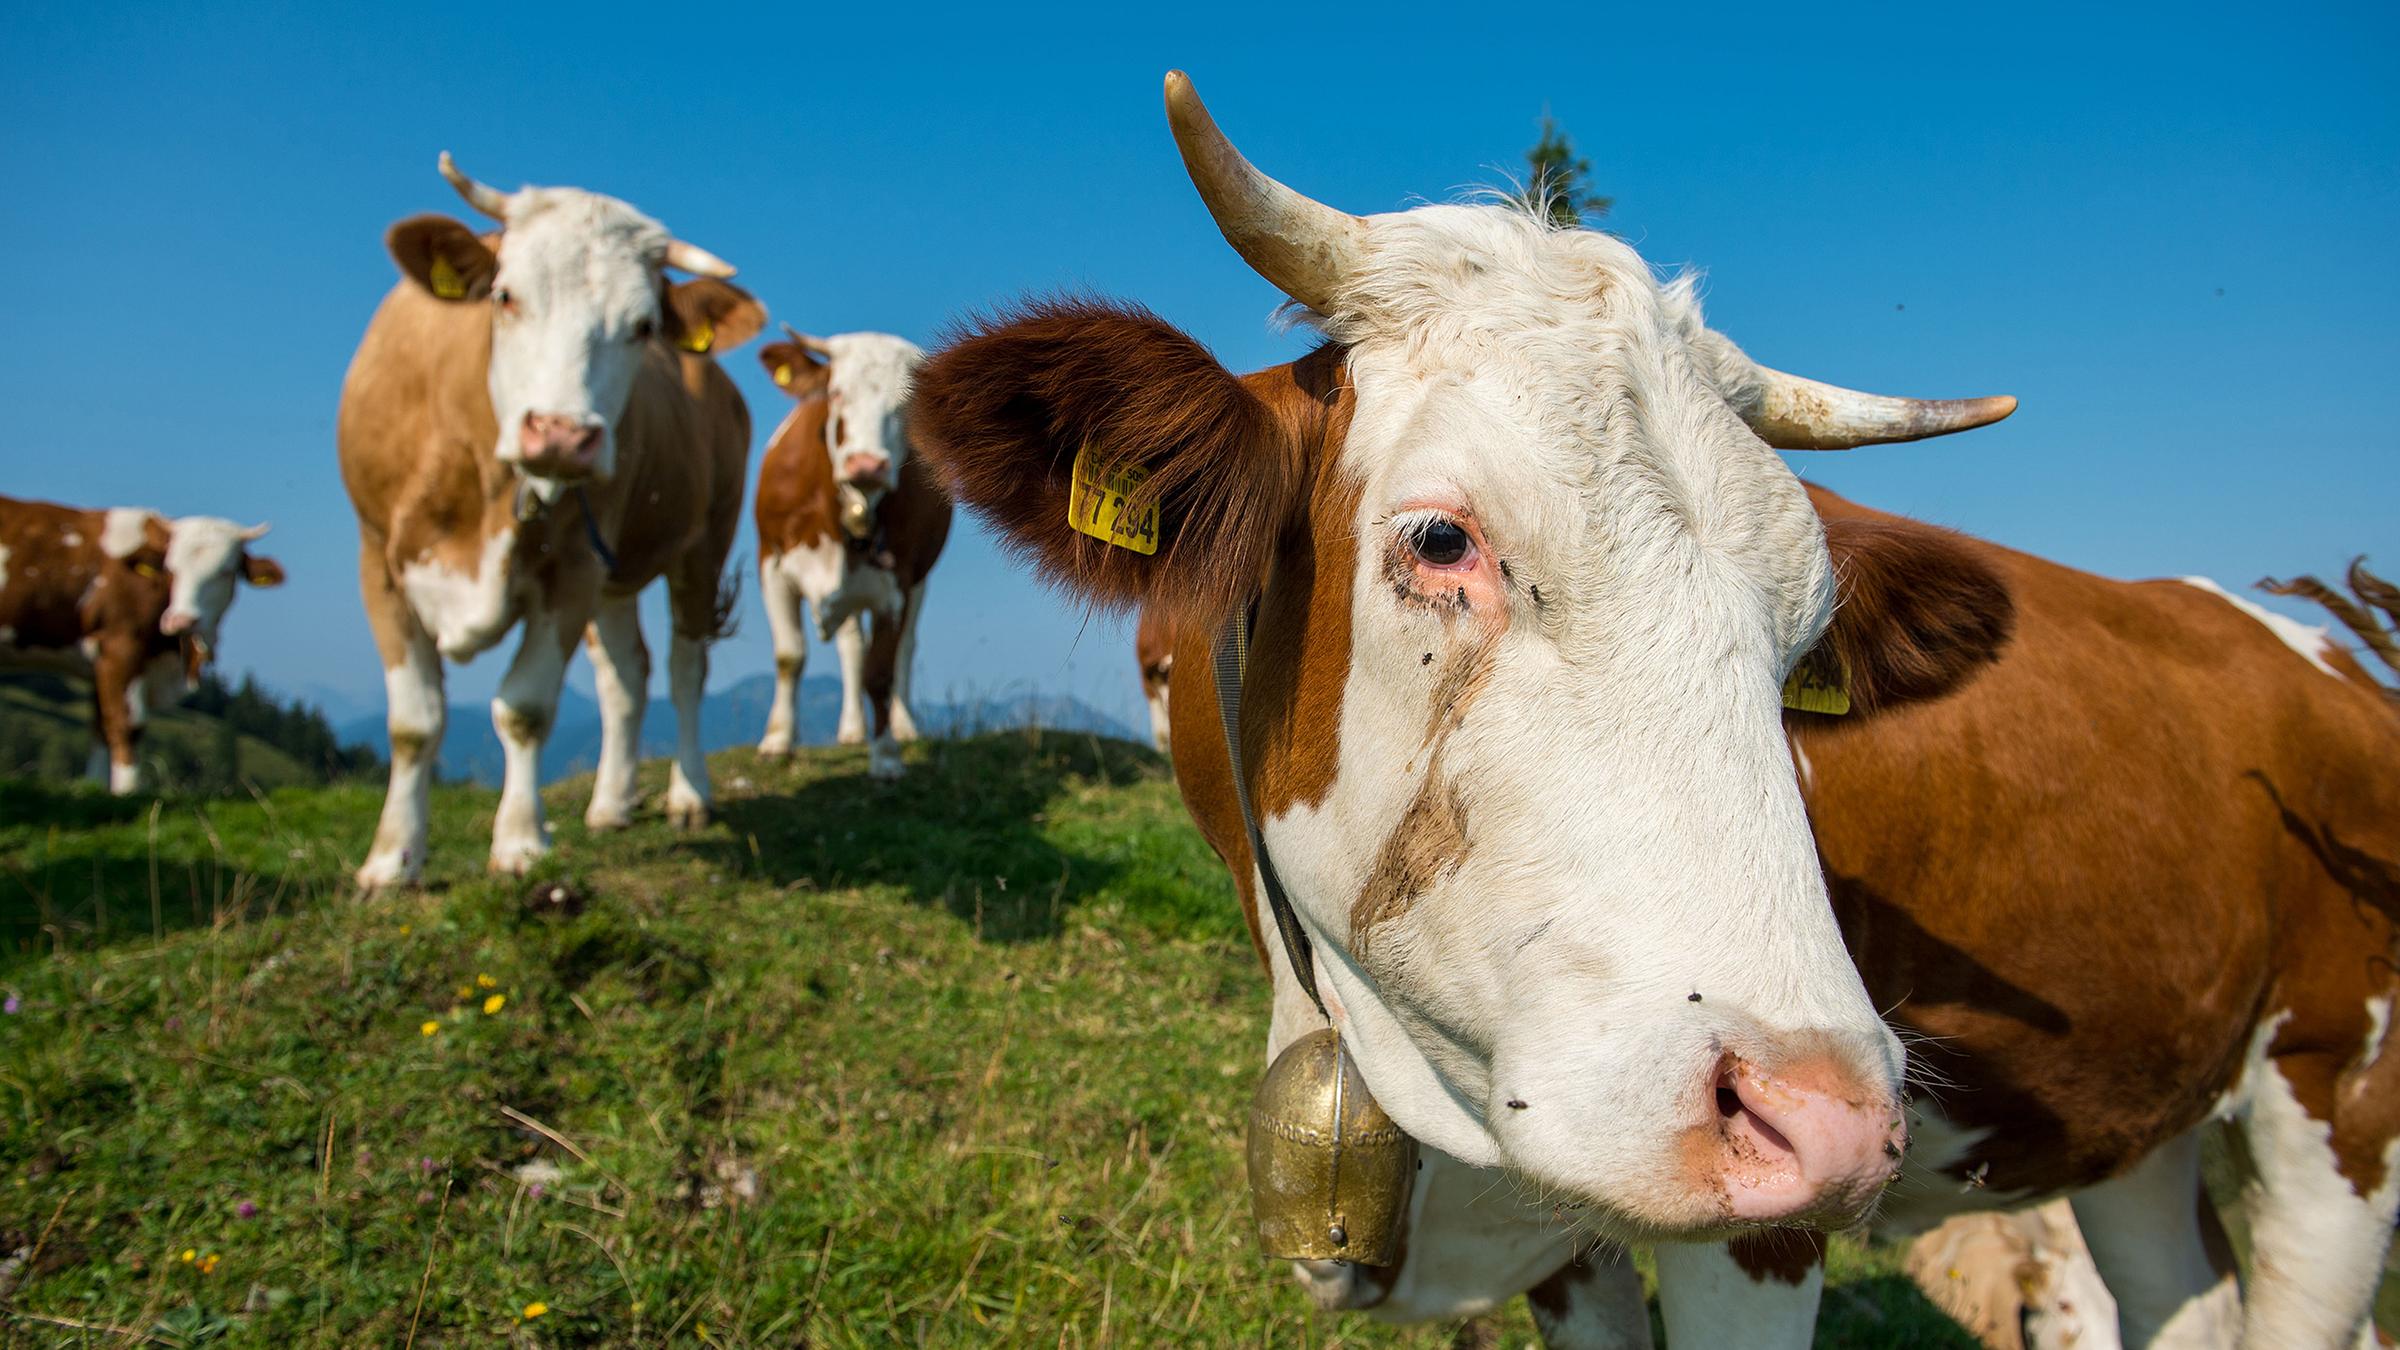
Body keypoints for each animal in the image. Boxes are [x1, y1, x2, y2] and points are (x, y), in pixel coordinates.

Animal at [0, 494, 285, 787]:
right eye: (170, 569)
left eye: (227, 572)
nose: (182, 620)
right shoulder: (121, 647)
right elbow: (127, 726)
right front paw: (127, 791)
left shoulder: (100, 665)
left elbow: (100, 730)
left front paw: (95, 789)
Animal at [340, 154, 758, 883]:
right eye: (505, 296)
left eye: (643, 326)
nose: (564, 435)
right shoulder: (378, 559)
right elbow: (414, 722)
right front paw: (392, 861)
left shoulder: (573, 570)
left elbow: (526, 708)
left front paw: (518, 843)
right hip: (616, 572)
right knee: (627, 676)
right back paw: (611, 802)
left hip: (700, 544)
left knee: (684, 668)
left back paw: (688, 795)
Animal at [748, 321, 945, 778]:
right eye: (837, 393)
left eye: (906, 407)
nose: (867, 465)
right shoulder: (771, 565)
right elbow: (790, 656)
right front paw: (777, 741)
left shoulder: (897, 582)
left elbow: (881, 671)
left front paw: (887, 755)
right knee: (852, 644)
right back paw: (853, 730)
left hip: (919, 581)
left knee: (905, 648)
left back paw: (904, 725)